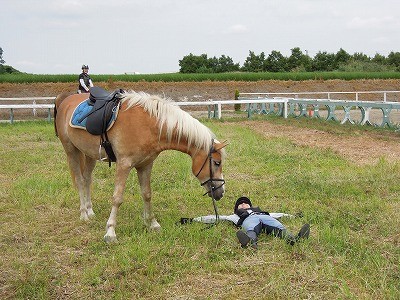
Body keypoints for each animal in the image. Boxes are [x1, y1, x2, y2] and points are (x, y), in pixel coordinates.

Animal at [54, 90, 227, 243]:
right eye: (217, 163)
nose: (221, 192)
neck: (149, 125)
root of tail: (65, 100)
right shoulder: (124, 165)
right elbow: (117, 198)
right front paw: (110, 232)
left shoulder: (146, 164)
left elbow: (147, 194)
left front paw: (152, 224)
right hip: (71, 151)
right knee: (79, 181)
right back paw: (84, 214)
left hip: (89, 155)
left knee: (87, 180)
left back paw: (90, 211)